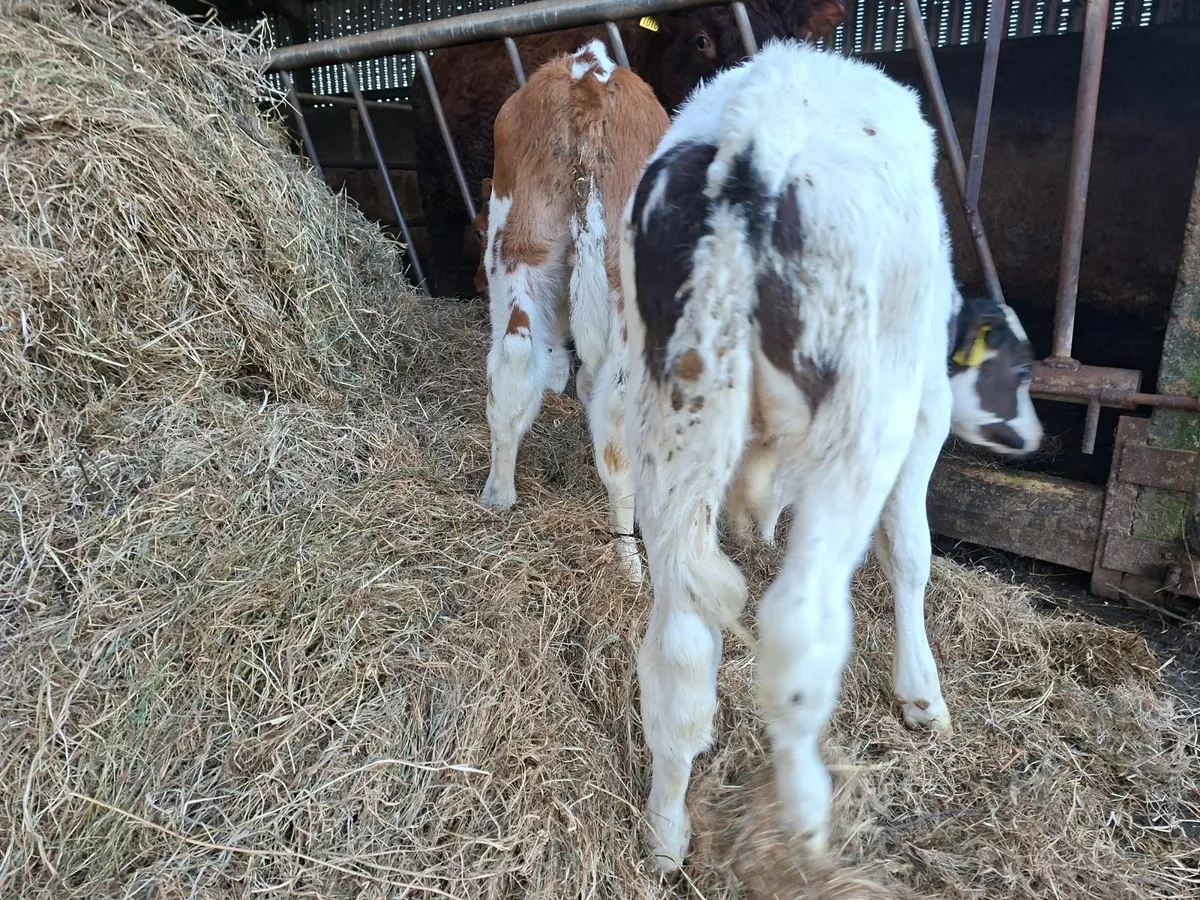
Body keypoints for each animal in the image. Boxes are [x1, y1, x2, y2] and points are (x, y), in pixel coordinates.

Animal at [476, 41, 670, 584]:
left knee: (513, 365)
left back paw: (498, 498)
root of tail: (588, 72)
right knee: (620, 426)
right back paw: (630, 562)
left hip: (517, 248)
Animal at [619, 39, 1043, 872]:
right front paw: (922, 695)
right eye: (1019, 369)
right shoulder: (922, 410)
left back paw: (665, 835)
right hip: (860, 431)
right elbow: (909, 550)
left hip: (674, 417)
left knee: (680, 646)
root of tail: (756, 136)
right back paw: (807, 818)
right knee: (797, 621)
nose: (1037, 438)